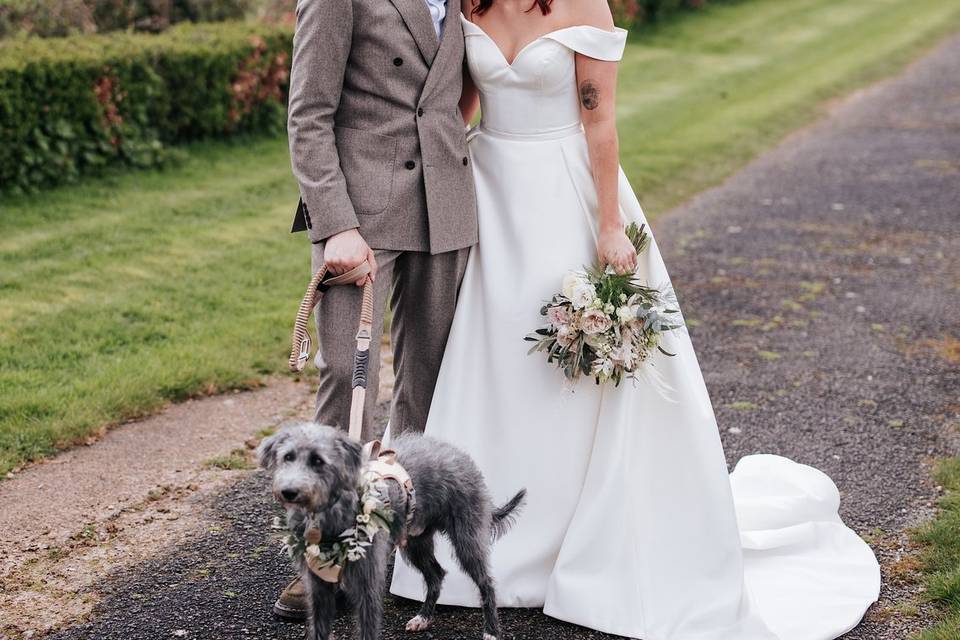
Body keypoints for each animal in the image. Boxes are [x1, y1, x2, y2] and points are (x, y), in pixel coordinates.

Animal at [256, 420, 524, 640]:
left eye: (318, 460)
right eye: (287, 457)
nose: (289, 491)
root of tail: (458, 455)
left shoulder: (368, 586)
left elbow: (368, 629)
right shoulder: (318, 588)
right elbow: (319, 629)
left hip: (466, 539)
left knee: (486, 582)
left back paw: (491, 631)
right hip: (416, 543)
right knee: (436, 574)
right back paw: (423, 618)